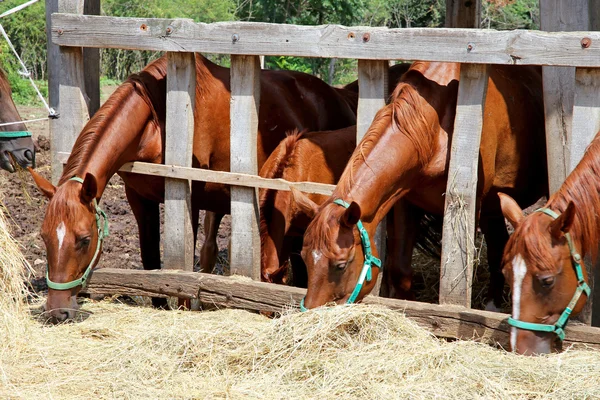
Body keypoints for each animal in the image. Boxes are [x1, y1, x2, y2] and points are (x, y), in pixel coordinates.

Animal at [29, 53, 356, 322]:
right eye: (43, 236)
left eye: (84, 239)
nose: (57, 310)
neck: (157, 119)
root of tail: (337, 94)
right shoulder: (139, 199)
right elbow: (151, 260)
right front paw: (160, 304)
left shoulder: (190, 197)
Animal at [294, 62, 548, 310]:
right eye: (304, 257)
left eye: (340, 265)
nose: (311, 311)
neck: (435, 126)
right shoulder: (406, 202)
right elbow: (400, 271)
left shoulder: (479, 206)